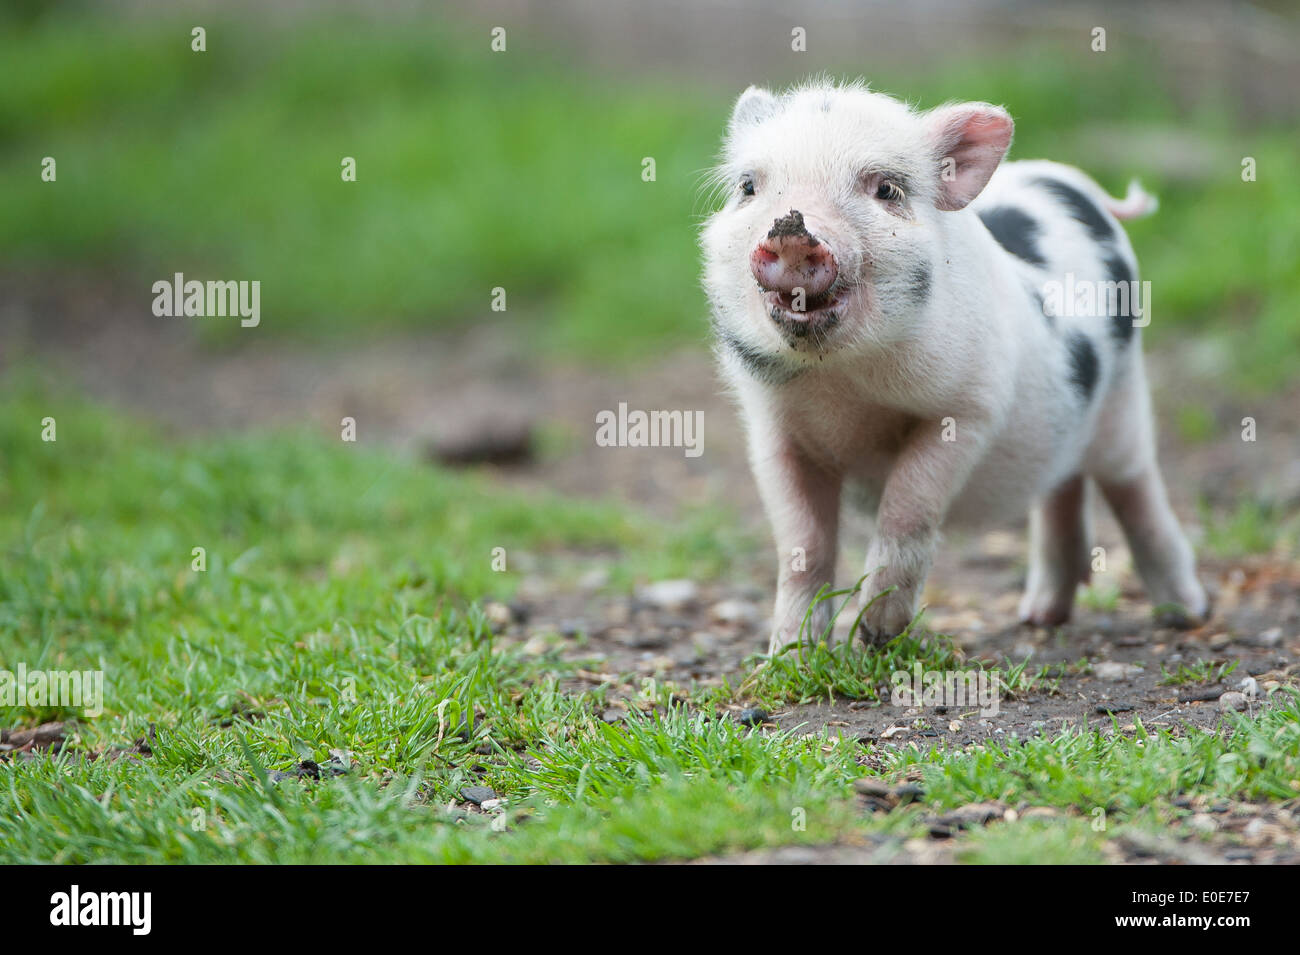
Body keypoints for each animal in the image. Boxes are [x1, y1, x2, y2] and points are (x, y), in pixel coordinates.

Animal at [699, 80, 1208, 654]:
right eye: (748, 187)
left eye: (886, 190)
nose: (790, 229)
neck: (843, 385)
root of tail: (1077, 184)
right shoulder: (774, 431)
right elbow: (802, 546)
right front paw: (789, 655)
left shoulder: (970, 406)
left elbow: (907, 509)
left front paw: (877, 635)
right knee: (1062, 486)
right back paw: (1040, 618)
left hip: (1124, 398)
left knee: (1135, 489)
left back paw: (1185, 615)